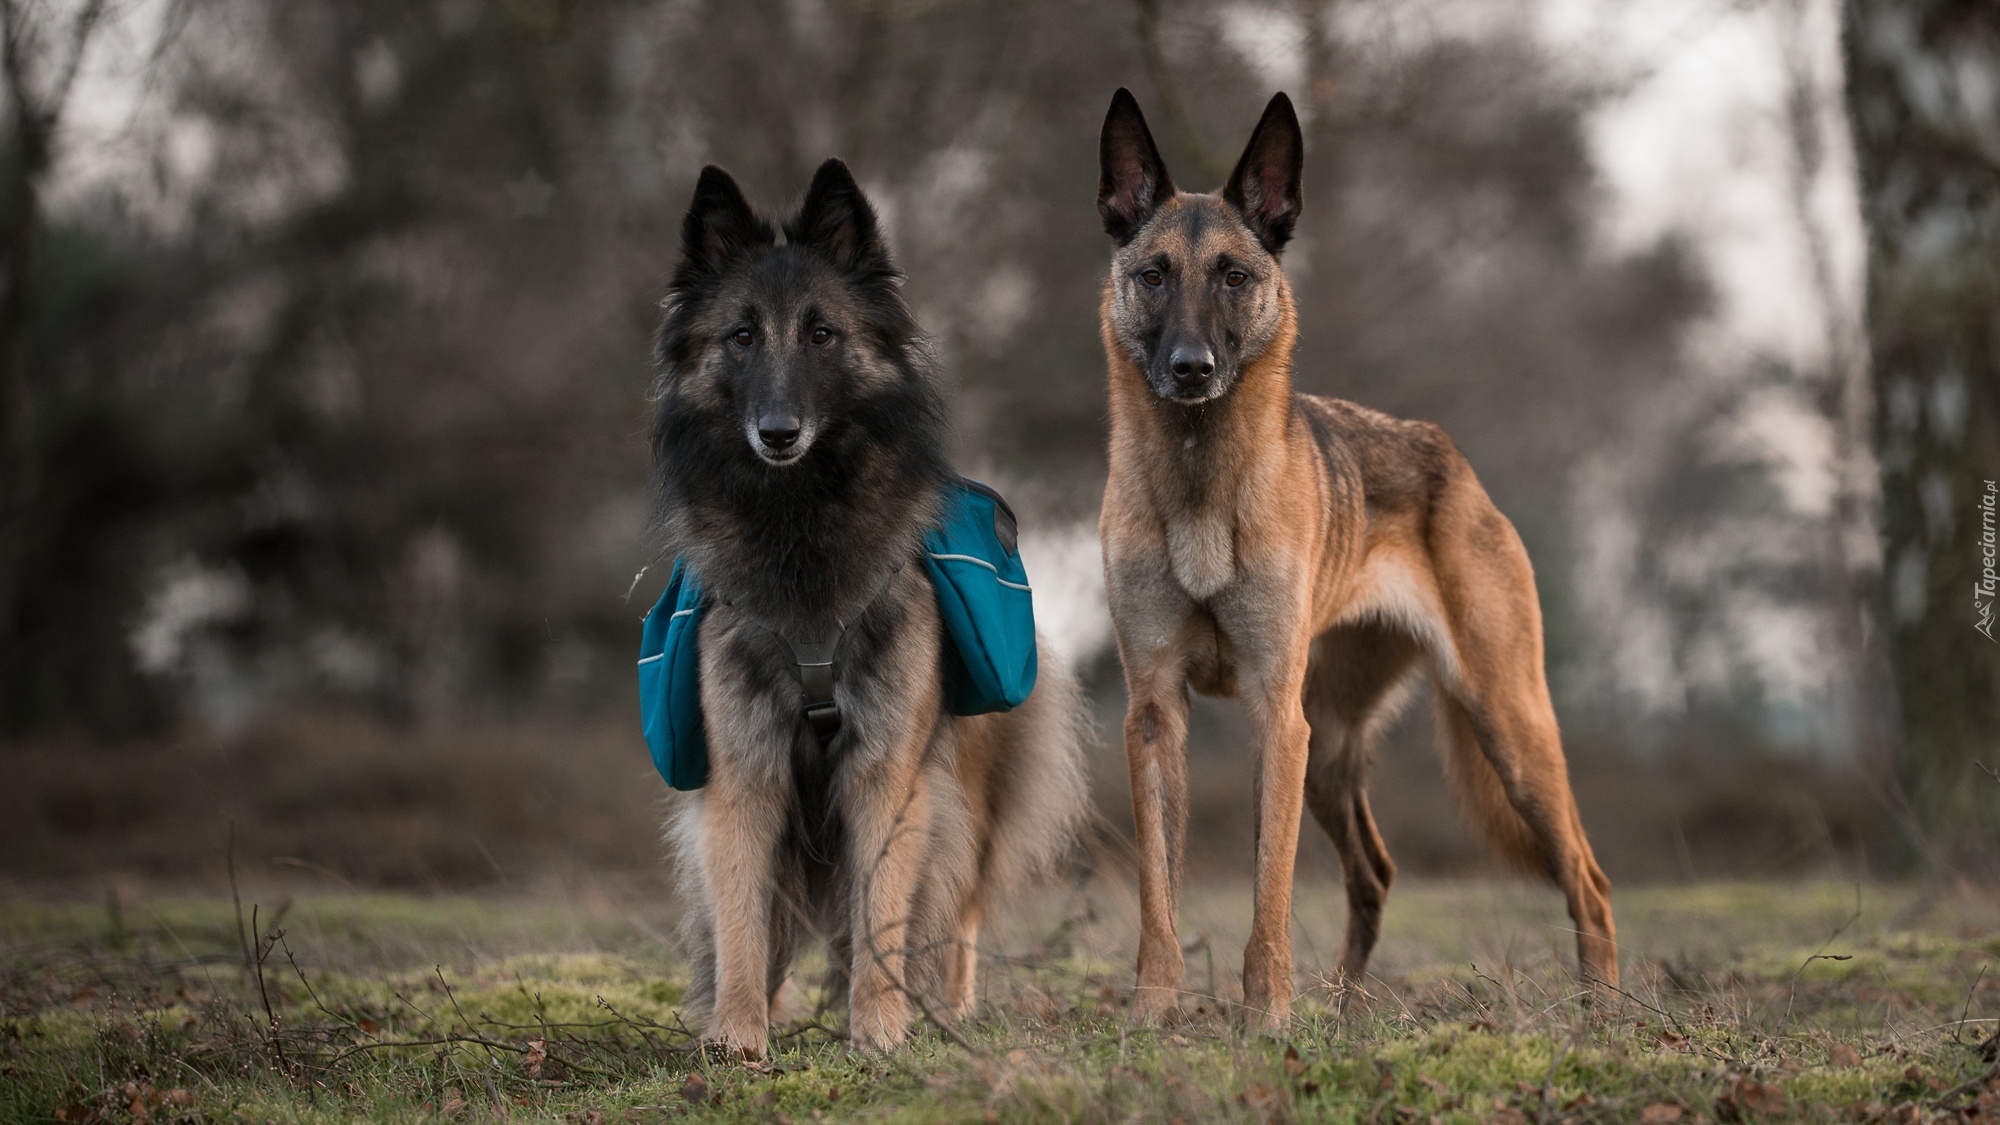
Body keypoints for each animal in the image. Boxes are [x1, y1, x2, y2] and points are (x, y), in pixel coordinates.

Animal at [648, 162, 1088, 1056]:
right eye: (740, 336)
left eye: (822, 334)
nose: (779, 432)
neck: (800, 529)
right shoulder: (743, 771)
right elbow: (742, 915)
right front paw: (739, 1032)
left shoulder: (890, 769)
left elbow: (883, 907)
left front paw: (880, 1029)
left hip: (967, 796)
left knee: (957, 910)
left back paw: (945, 1010)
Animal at [1104, 89, 1616, 1024]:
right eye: (1154, 274)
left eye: (1233, 275)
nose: (1192, 368)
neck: (1201, 483)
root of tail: (1453, 458)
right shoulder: (1155, 716)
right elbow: (1160, 893)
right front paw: (1152, 1015)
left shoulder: (1275, 717)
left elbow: (1269, 891)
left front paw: (1266, 1017)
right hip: (1335, 755)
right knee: (1375, 872)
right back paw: (1343, 1008)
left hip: (1508, 728)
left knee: (1588, 881)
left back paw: (1605, 1016)